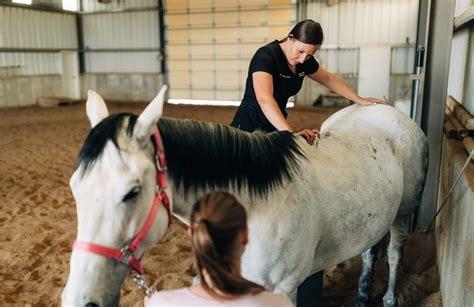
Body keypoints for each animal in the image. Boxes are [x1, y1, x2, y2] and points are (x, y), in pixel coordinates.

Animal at [60, 86, 430, 307]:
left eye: (132, 192)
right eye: (75, 187)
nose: (80, 300)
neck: (255, 207)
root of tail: (388, 112)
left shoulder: (282, 289)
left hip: (403, 214)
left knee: (394, 253)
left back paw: (389, 300)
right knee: (370, 251)